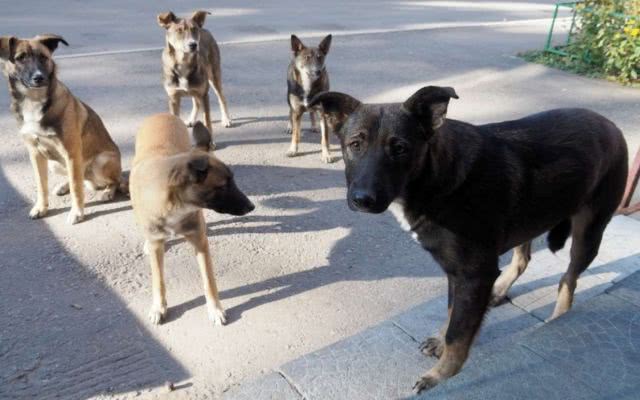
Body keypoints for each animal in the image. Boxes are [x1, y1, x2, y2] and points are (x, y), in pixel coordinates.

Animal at [0, 33, 124, 225]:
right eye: (20, 58)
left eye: (44, 57)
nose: (39, 78)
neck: (34, 101)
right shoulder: (35, 154)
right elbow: (41, 185)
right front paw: (41, 208)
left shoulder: (71, 152)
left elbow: (76, 187)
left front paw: (77, 212)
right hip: (54, 164)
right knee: (79, 178)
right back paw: (63, 186)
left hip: (100, 162)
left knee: (114, 180)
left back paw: (108, 192)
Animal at [129, 113, 252, 324]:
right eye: (223, 186)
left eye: (233, 180)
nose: (251, 206)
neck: (174, 205)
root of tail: (163, 114)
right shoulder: (157, 245)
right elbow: (158, 280)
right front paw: (158, 307)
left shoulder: (200, 242)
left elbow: (209, 280)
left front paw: (215, 309)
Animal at [158, 10, 232, 150]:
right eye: (179, 30)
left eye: (194, 29)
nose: (193, 44)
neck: (183, 62)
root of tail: (205, 29)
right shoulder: (173, 97)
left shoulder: (204, 94)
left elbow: (207, 120)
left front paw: (210, 142)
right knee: (196, 102)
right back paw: (192, 119)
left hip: (214, 76)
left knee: (222, 98)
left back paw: (226, 119)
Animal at [308, 86, 628, 390]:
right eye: (355, 145)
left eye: (400, 148)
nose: (363, 200)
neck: (435, 175)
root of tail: (611, 125)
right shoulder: (457, 273)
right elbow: (453, 315)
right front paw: (440, 344)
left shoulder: (473, 274)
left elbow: (459, 335)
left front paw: (440, 377)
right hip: (530, 217)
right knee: (524, 259)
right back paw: (499, 291)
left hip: (588, 233)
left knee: (568, 278)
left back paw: (559, 315)